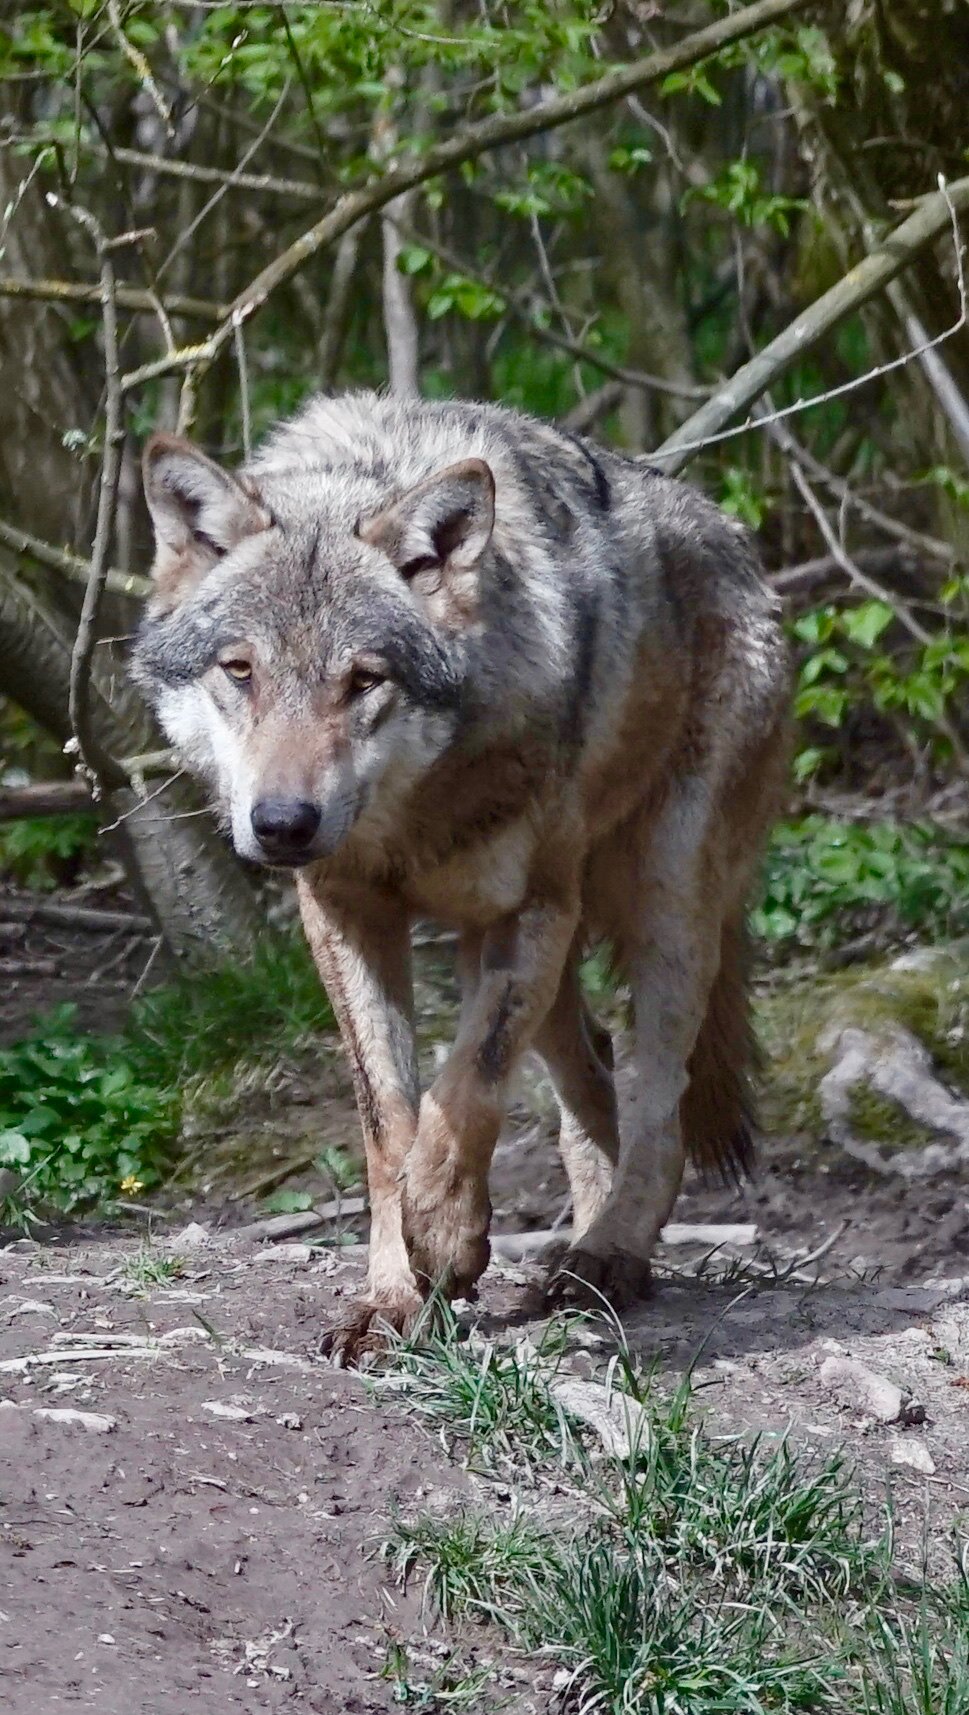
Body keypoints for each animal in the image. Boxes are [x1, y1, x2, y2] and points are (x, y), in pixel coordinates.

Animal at [132, 390, 789, 1360]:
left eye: (364, 679)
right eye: (240, 671)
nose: (282, 823)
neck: (413, 818)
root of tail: (737, 538)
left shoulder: (530, 911)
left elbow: (465, 1090)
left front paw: (443, 1234)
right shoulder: (344, 914)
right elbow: (389, 1121)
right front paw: (395, 1295)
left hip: (662, 906)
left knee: (658, 1106)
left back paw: (609, 1256)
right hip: (555, 959)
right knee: (594, 1079)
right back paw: (577, 1248)